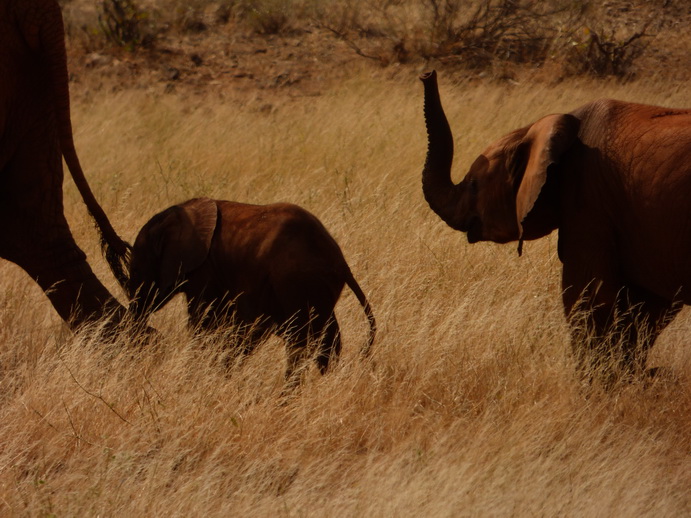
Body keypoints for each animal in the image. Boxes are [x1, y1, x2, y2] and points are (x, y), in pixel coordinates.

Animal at [127, 199, 376, 386]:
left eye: (137, 269)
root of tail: (342, 263)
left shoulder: (204, 270)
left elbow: (204, 321)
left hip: (298, 282)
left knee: (299, 340)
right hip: (314, 287)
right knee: (325, 337)